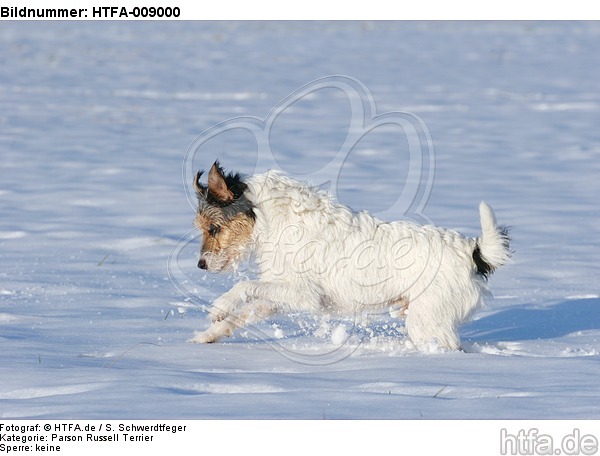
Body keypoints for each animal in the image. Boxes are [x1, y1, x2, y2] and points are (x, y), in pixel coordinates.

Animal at [190, 162, 508, 350]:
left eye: (213, 228)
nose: (200, 265)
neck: (269, 219)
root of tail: (471, 250)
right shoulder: (283, 296)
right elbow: (245, 312)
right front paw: (209, 334)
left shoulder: (304, 294)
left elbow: (244, 287)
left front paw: (219, 306)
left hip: (426, 322)